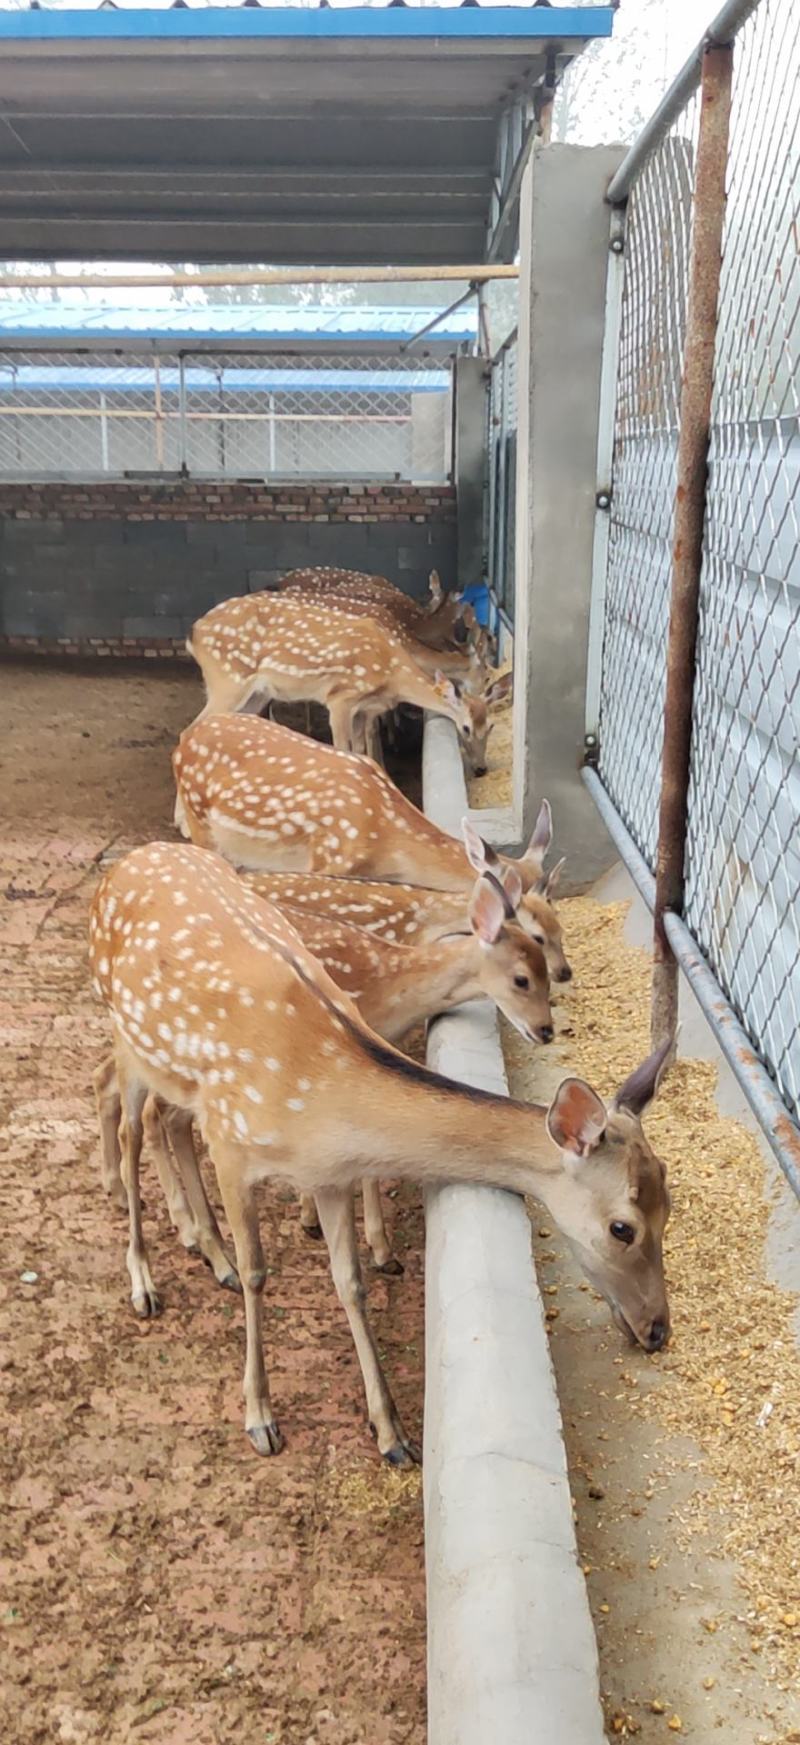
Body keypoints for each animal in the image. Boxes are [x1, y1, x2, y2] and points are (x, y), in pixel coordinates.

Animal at [94, 863, 553, 1276]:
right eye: (523, 978)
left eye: (546, 964)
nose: (547, 1030)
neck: (391, 988)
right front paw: (376, 1249)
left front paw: (319, 1219)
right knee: (149, 1111)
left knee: (128, 1092)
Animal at [185, 591, 503, 771]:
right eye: (465, 728)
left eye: (490, 726)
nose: (481, 768)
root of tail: (193, 633)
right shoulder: (341, 698)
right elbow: (345, 749)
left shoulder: (364, 707)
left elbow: (360, 750)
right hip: (227, 680)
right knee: (192, 728)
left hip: (254, 693)